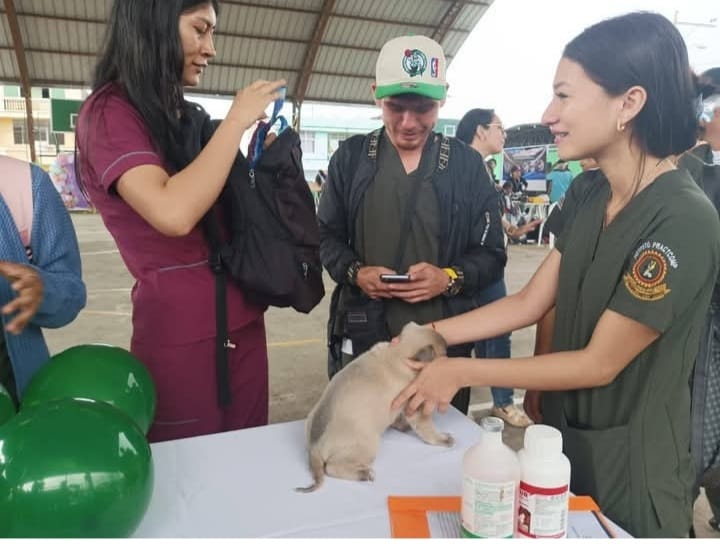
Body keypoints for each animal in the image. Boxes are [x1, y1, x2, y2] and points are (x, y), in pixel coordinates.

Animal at [296, 321, 454, 493]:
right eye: (444, 354)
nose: (450, 360)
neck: (397, 353)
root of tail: (314, 448)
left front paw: (402, 426)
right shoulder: (416, 407)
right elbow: (428, 430)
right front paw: (443, 439)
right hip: (369, 444)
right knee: (331, 468)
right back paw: (363, 474)